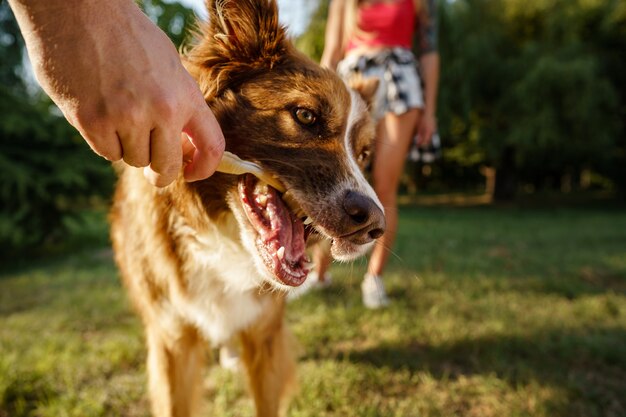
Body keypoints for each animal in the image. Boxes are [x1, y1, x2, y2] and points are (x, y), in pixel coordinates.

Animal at [111, 1, 382, 414]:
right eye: (306, 116)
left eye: (364, 154)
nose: (374, 224)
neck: (220, 237)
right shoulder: (172, 338)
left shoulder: (264, 332)